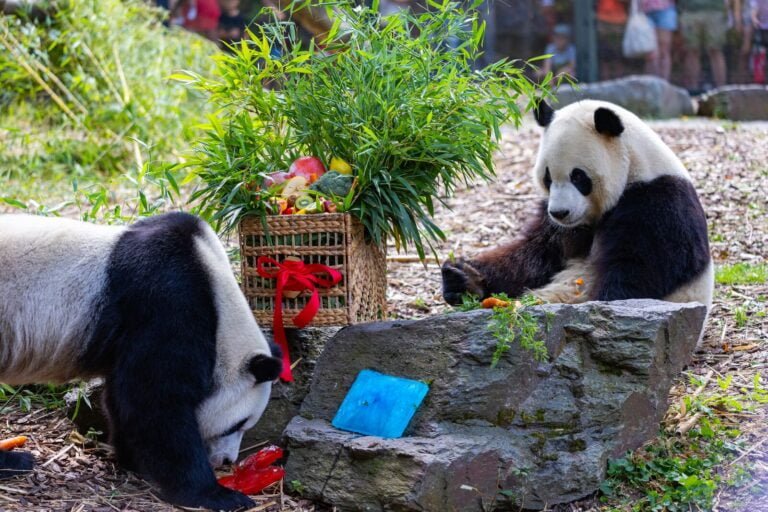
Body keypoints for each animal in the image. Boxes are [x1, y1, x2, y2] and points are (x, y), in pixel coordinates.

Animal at [0, 210, 282, 510]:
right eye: (238, 424)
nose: (227, 460)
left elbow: (124, 398)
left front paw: (132, 459)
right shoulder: (169, 303)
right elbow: (155, 402)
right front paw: (215, 493)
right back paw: (15, 461)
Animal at [440, 98, 716, 326]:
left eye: (579, 177)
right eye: (548, 177)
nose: (560, 213)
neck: (635, 169)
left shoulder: (658, 205)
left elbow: (638, 273)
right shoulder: (558, 225)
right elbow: (534, 256)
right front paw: (463, 277)